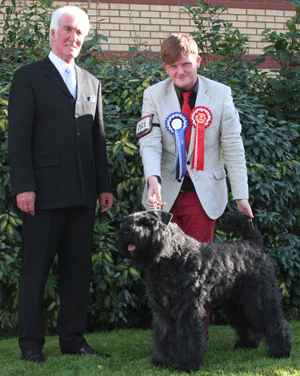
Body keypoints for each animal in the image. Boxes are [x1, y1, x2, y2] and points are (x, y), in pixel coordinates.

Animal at [117, 210, 290, 372]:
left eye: (148, 222)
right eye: (127, 220)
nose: (126, 232)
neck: (171, 257)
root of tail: (254, 243)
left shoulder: (189, 309)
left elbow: (189, 337)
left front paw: (187, 365)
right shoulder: (162, 311)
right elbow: (163, 335)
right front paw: (161, 361)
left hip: (261, 298)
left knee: (277, 321)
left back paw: (280, 352)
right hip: (235, 303)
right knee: (246, 323)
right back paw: (247, 344)